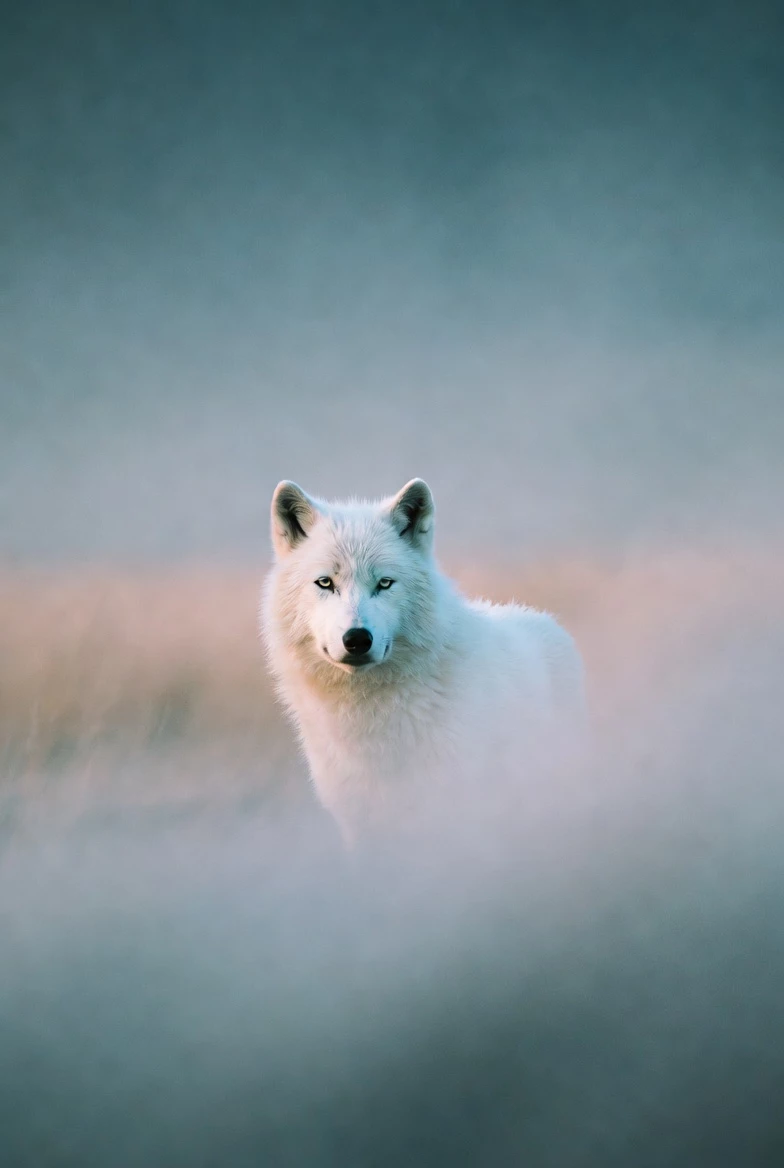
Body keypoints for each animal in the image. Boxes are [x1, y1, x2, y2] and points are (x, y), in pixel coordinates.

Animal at [260, 478, 586, 847]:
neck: (371, 718)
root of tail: (546, 619)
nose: (357, 639)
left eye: (384, 583)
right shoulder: (361, 828)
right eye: (325, 583)